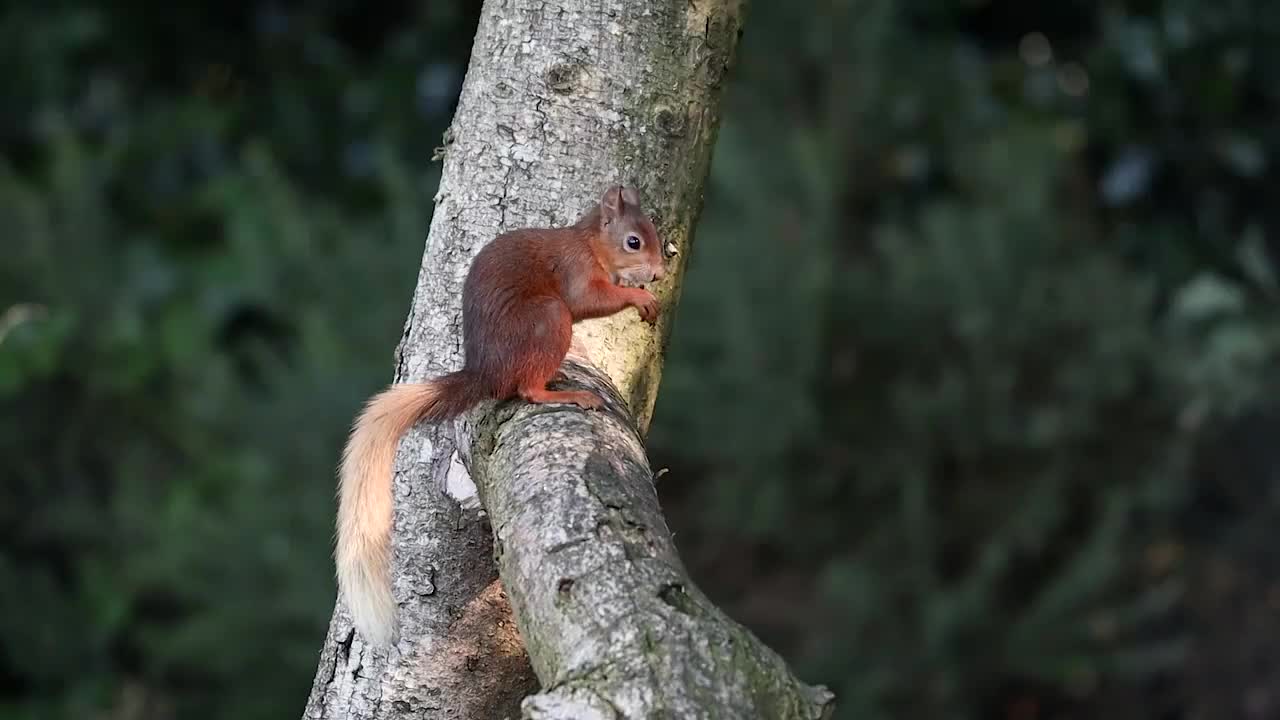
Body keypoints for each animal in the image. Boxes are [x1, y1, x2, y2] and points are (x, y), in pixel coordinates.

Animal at [330, 181, 670, 640]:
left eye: (653, 231)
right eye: (634, 241)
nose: (658, 274)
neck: (590, 244)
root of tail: (488, 373)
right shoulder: (576, 272)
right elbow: (590, 300)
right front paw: (639, 297)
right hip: (550, 318)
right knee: (527, 388)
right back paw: (562, 393)